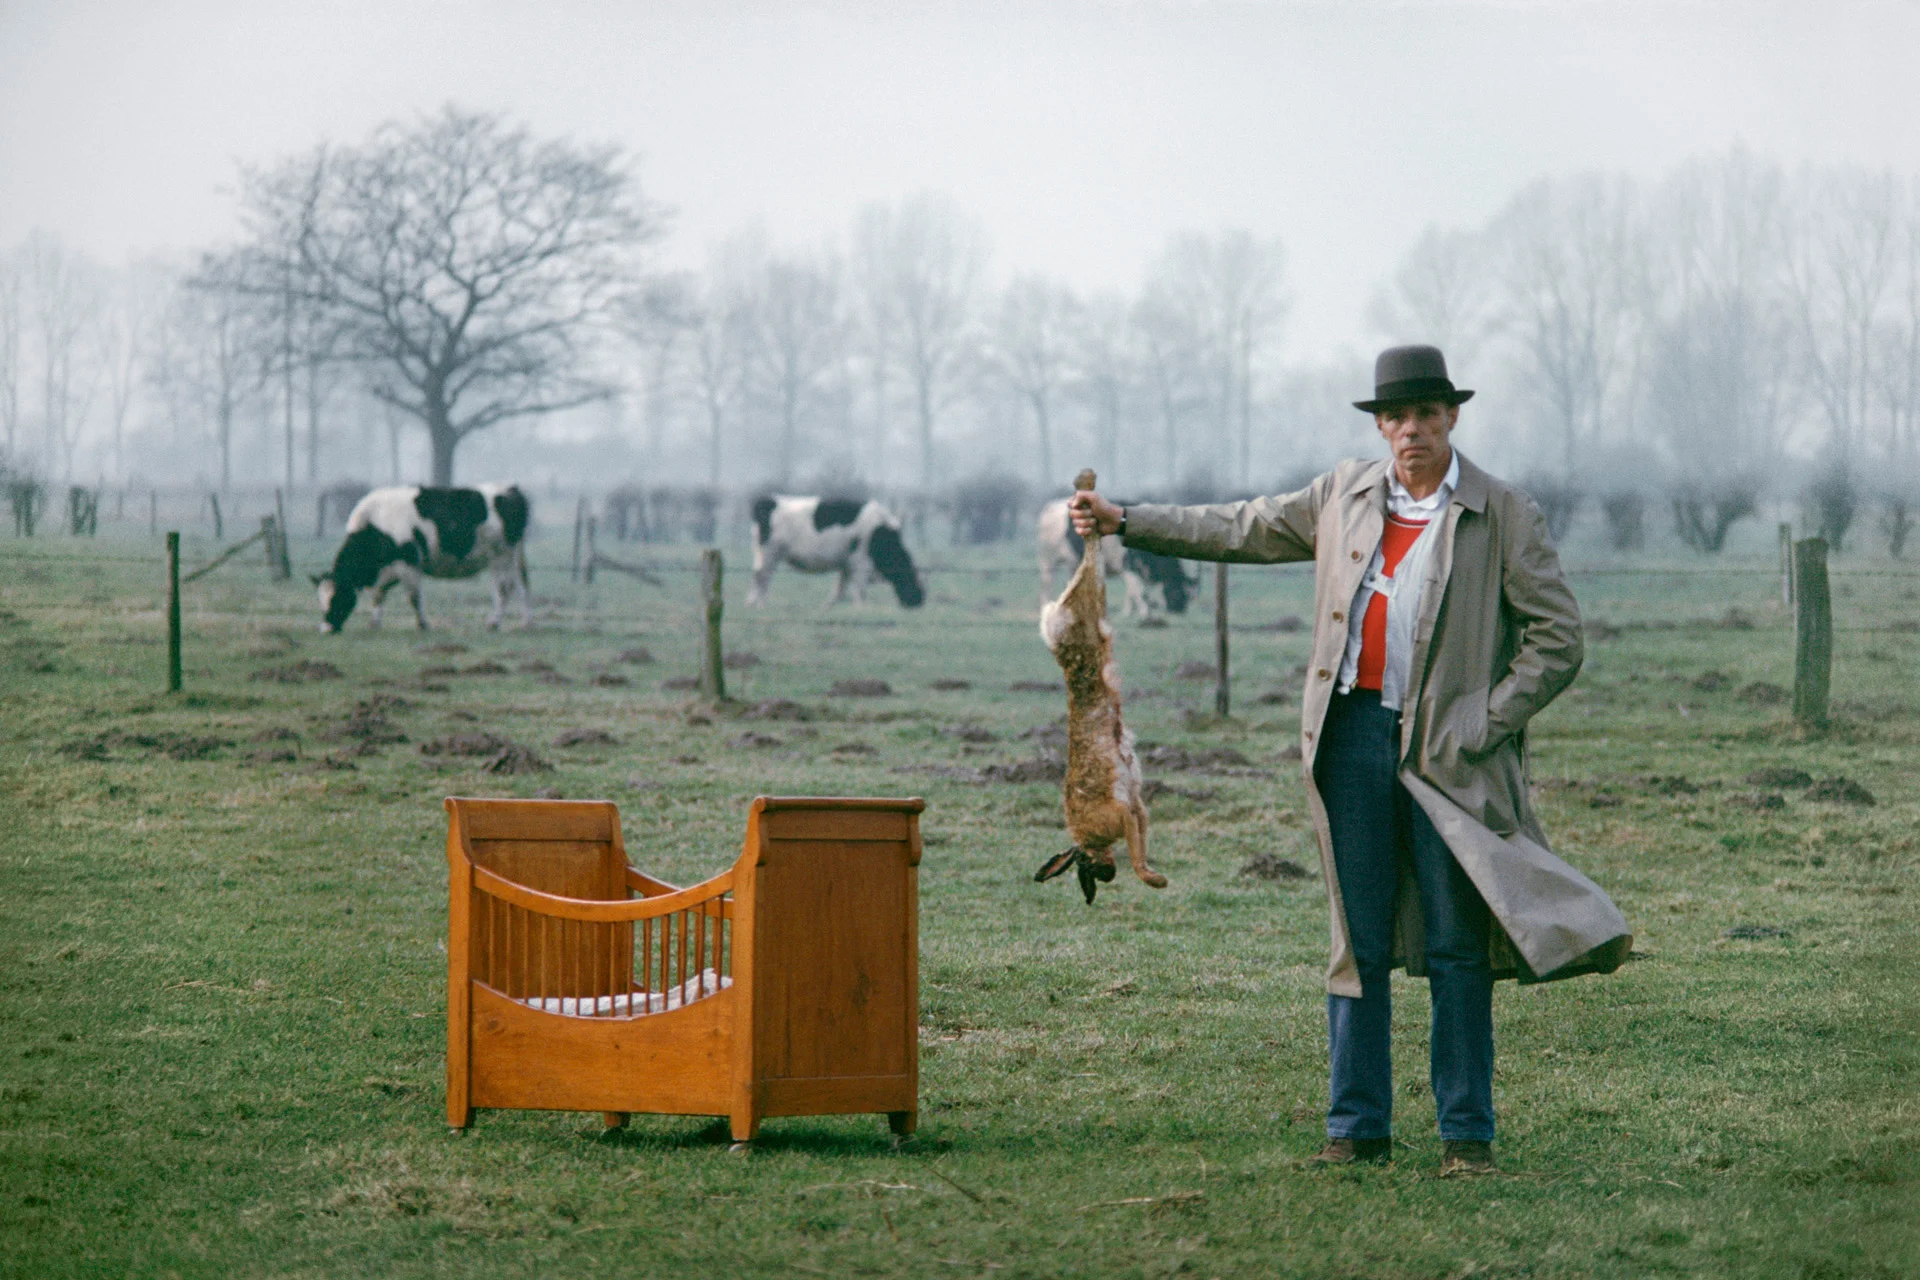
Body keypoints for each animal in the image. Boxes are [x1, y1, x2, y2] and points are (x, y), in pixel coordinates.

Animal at [316, 483, 533, 633]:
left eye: (336, 598)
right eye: (321, 601)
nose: (326, 629)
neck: (375, 524)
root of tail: (509, 489)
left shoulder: (409, 563)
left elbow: (413, 596)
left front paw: (423, 624)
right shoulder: (390, 569)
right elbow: (379, 594)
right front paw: (374, 624)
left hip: (501, 556)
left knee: (503, 589)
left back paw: (493, 623)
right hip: (511, 558)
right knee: (520, 587)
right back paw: (524, 623)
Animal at [744, 495, 925, 610]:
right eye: (912, 575)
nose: (919, 600)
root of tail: (768, 501)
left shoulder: (846, 564)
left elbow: (840, 589)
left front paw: (827, 606)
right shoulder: (861, 562)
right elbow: (860, 590)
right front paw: (862, 609)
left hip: (765, 554)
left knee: (759, 576)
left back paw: (755, 602)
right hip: (770, 553)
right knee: (761, 576)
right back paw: (759, 604)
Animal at [1044, 495, 1190, 621]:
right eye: (1176, 588)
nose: (1179, 609)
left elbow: (1132, 592)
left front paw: (1129, 612)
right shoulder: (1129, 567)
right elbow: (1139, 592)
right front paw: (1144, 613)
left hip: (1072, 563)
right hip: (1048, 559)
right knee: (1047, 583)